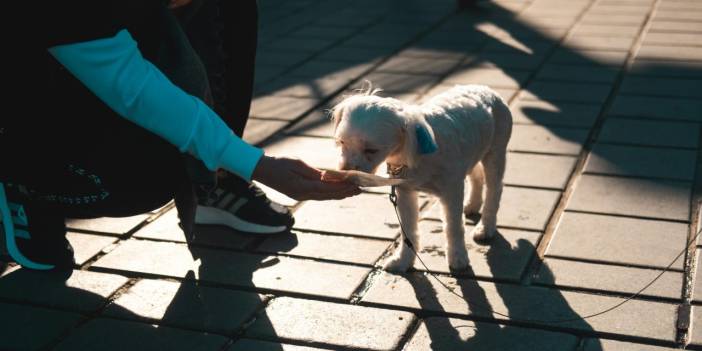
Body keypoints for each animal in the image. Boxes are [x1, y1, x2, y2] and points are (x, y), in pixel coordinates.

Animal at [332, 83, 516, 272]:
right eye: (342, 142)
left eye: (371, 150)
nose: (344, 171)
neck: (416, 150)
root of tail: (486, 89)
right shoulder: (404, 192)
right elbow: (408, 229)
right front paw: (403, 261)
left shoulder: (452, 189)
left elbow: (453, 226)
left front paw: (458, 257)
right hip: (474, 151)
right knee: (476, 176)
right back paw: (472, 205)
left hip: (496, 150)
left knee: (495, 188)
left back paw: (486, 227)